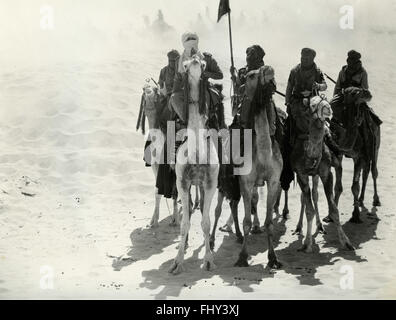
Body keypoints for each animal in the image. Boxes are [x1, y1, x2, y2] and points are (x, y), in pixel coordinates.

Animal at [136, 82, 179, 228]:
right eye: (144, 92)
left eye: (156, 93)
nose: (147, 88)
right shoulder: (156, 166)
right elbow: (157, 191)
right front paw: (153, 221)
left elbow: (175, 191)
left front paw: (175, 220)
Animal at [290, 95, 352, 252]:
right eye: (312, 105)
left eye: (327, 101)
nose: (328, 109)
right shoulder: (301, 175)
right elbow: (309, 210)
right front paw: (307, 243)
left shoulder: (326, 174)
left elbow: (334, 209)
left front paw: (346, 242)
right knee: (304, 198)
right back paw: (299, 227)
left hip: (316, 175)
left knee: (315, 194)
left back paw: (319, 226)